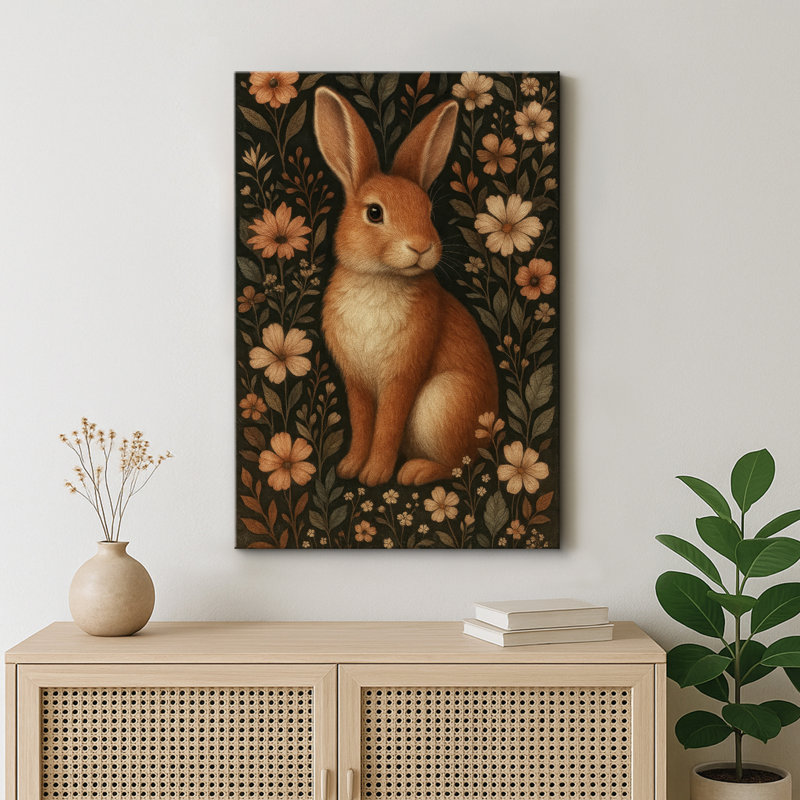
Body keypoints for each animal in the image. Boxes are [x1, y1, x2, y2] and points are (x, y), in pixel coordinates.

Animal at [313, 86, 499, 487]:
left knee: (460, 464)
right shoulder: (357, 381)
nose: (421, 246)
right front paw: (350, 467)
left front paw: (375, 475)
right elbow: (363, 424)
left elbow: (387, 426)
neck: (379, 278)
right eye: (374, 213)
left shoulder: (403, 375)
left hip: (444, 401)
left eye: (428, 212)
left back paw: (414, 472)